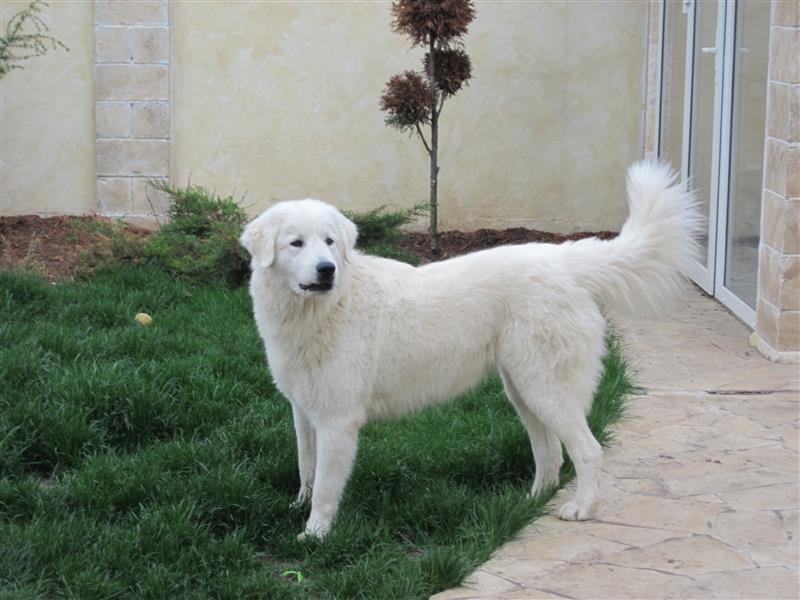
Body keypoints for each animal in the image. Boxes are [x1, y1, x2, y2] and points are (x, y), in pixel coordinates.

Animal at [240, 162, 700, 539]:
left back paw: (581, 508)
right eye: (296, 243)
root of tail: (565, 262)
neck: (323, 309)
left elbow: (326, 487)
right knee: (550, 454)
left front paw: (314, 535)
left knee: (587, 451)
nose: (327, 270)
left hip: (546, 389)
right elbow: (307, 469)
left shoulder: (338, 421)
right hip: (523, 389)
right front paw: (297, 507)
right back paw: (530, 503)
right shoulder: (304, 412)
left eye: (330, 242)